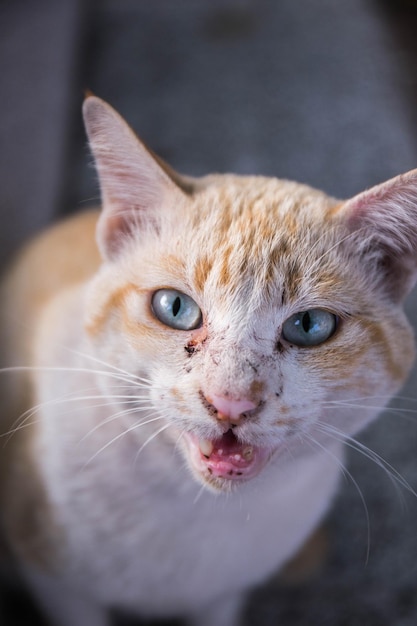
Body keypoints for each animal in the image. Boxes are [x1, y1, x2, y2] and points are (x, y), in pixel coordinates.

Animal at [0, 94, 416, 624]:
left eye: (309, 326)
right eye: (175, 308)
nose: (230, 402)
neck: (196, 507)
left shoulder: (225, 594)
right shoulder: (53, 578)